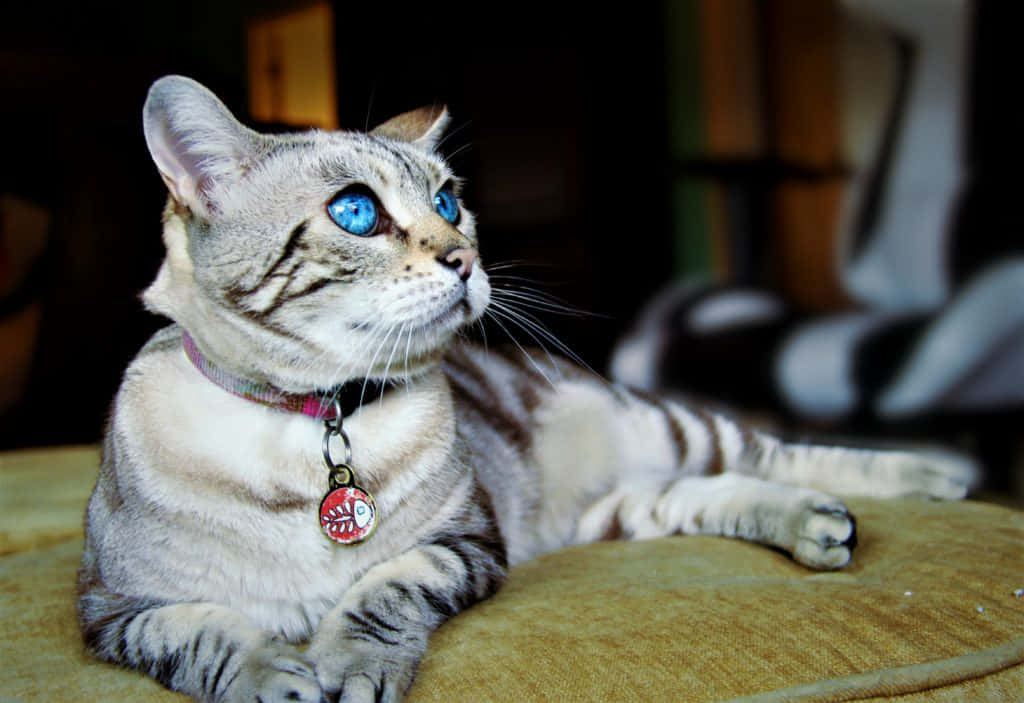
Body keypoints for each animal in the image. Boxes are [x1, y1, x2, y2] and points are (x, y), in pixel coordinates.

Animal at [77, 76, 974, 703]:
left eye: (448, 201)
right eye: (357, 211)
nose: (464, 259)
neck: (315, 419)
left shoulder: (467, 543)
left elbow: (380, 592)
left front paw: (342, 662)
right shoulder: (114, 607)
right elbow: (207, 635)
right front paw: (276, 674)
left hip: (660, 428)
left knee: (777, 451)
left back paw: (936, 477)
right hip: (619, 510)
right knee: (710, 491)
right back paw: (818, 527)